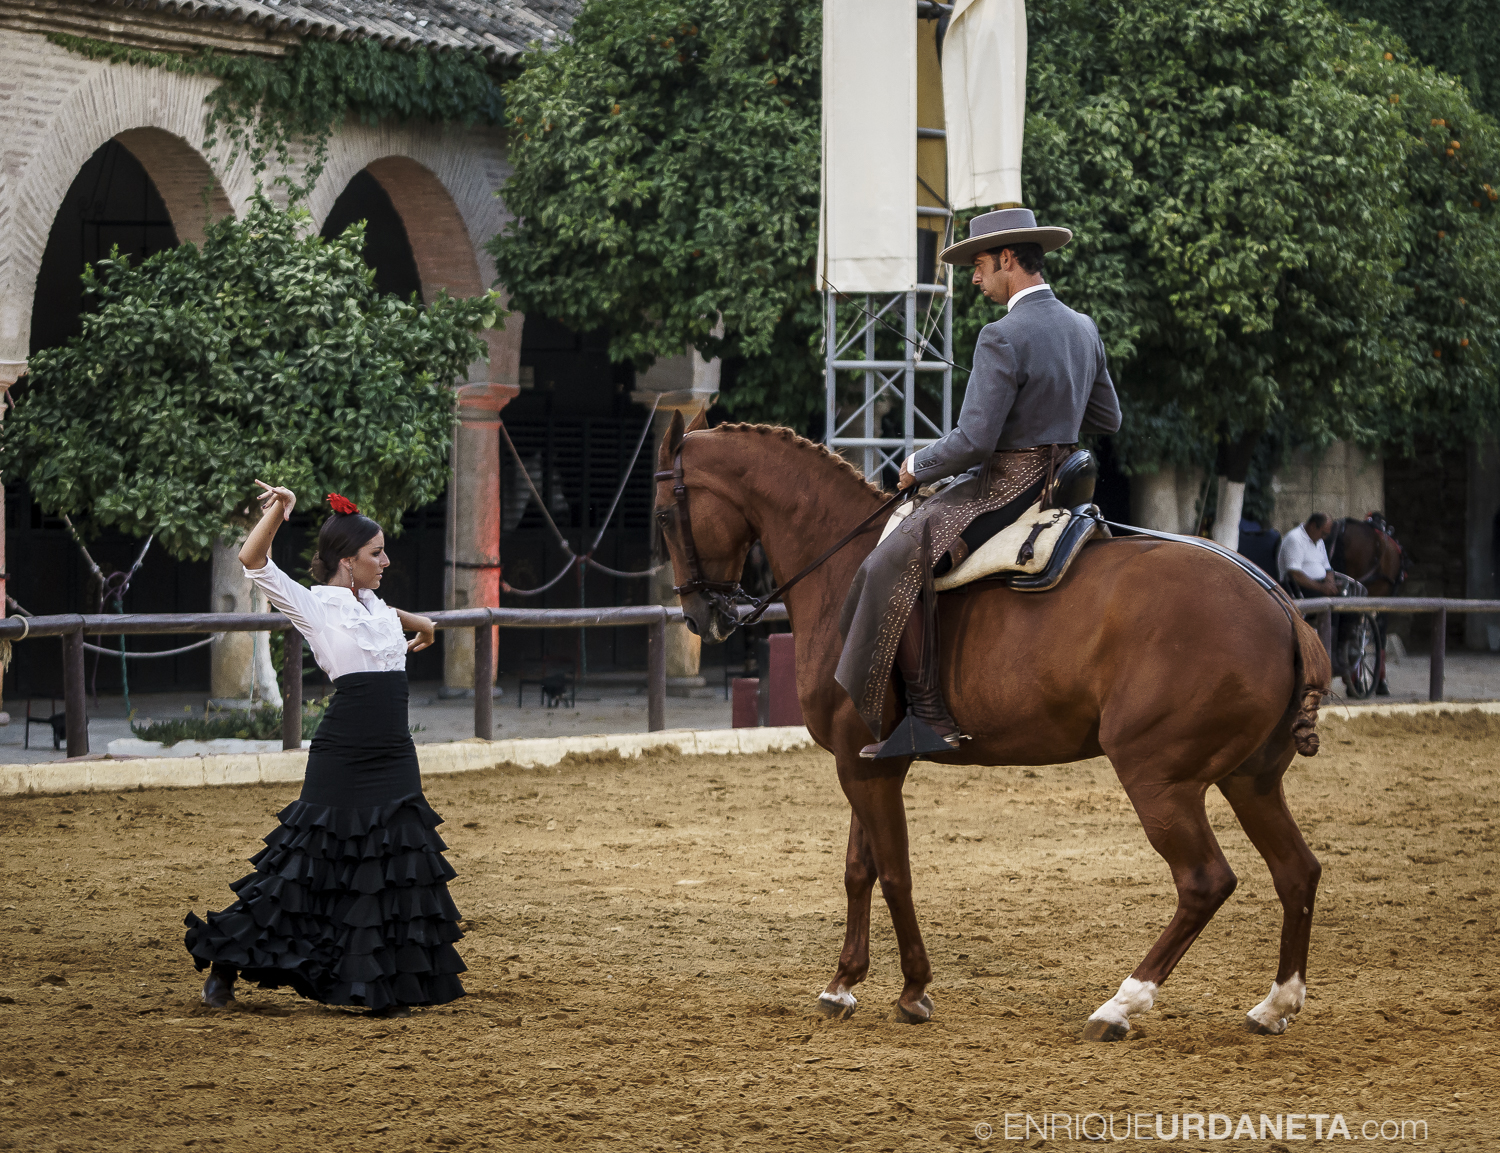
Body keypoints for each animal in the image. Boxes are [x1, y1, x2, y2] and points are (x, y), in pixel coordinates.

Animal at [657, 410, 1326, 1031]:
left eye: (663, 516)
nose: (699, 617)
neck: (844, 569)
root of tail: (1278, 603)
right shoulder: (867, 761)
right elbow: (859, 869)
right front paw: (843, 984)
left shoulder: (864, 768)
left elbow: (894, 872)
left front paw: (913, 990)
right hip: (1249, 780)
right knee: (1297, 872)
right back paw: (1276, 1003)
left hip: (1159, 779)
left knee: (1204, 881)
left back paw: (1122, 1003)